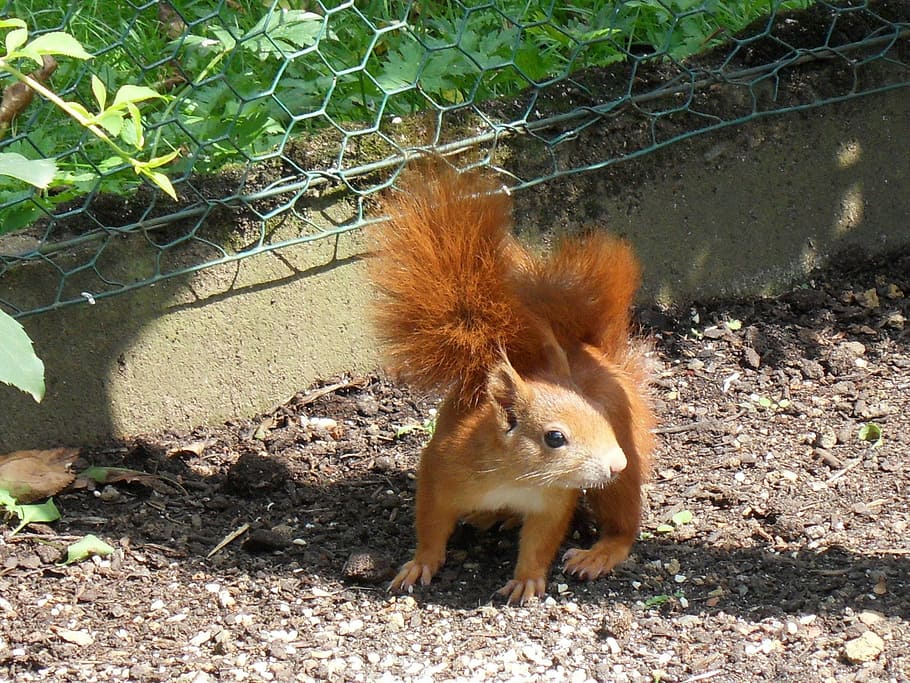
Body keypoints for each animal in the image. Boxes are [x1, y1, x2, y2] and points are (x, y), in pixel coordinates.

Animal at [369, 161, 655, 604]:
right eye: (554, 438)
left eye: (599, 415)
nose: (616, 463)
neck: (516, 478)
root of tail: (596, 353)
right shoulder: (441, 471)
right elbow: (430, 524)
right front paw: (421, 563)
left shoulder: (554, 502)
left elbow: (541, 540)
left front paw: (527, 579)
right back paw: (492, 516)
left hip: (620, 473)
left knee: (622, 521)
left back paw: (599, 552)